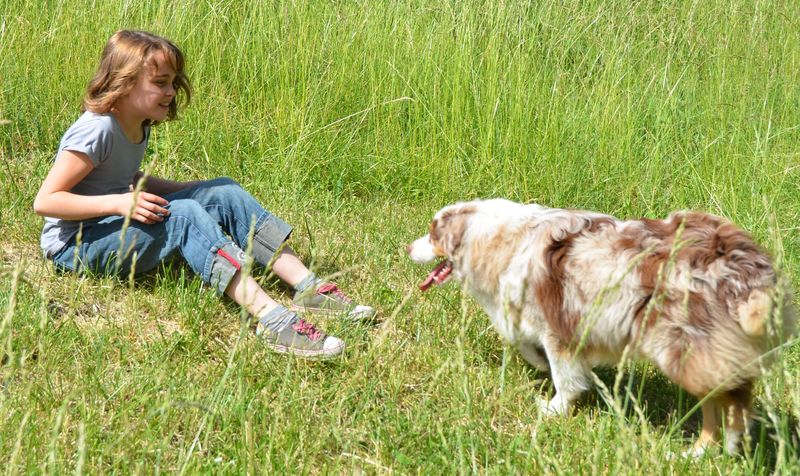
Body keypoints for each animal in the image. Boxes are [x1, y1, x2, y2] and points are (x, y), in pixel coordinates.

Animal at [408, 198, 795, 456]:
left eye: (432, 233)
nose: (408, 247)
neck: (499, 239)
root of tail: (748, 266)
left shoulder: (557, 326)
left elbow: (564, 376)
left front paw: (554, 409)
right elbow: (524, 344)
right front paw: (538, 364)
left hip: (685, 348)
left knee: (730, 404)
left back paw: (709, 450)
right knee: (731, 399)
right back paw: (708, 452)